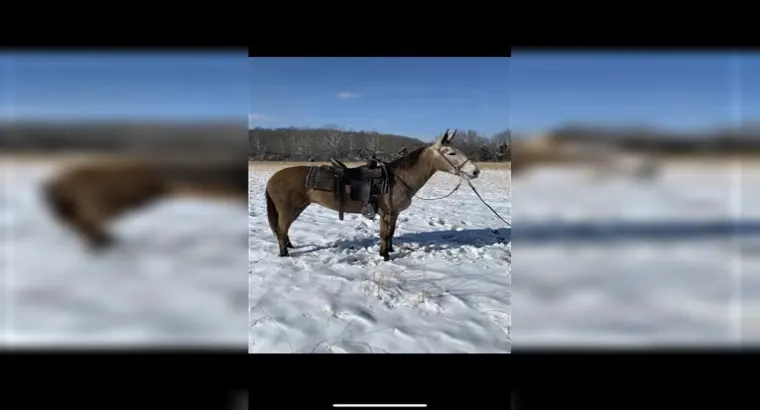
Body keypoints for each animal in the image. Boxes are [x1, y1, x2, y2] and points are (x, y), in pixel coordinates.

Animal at [264, 129, 481, 261]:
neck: (397, 178)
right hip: (289, 210)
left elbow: (390, 233)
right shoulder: (387, 213)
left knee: (283, 230)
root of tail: (273, 178)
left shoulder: (394, 214)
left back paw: (289, 247)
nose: (475, 171)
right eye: (451, 153)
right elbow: (384, 234)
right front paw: (384, 256)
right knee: (281, 230)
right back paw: (284, 253)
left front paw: (390, 250)